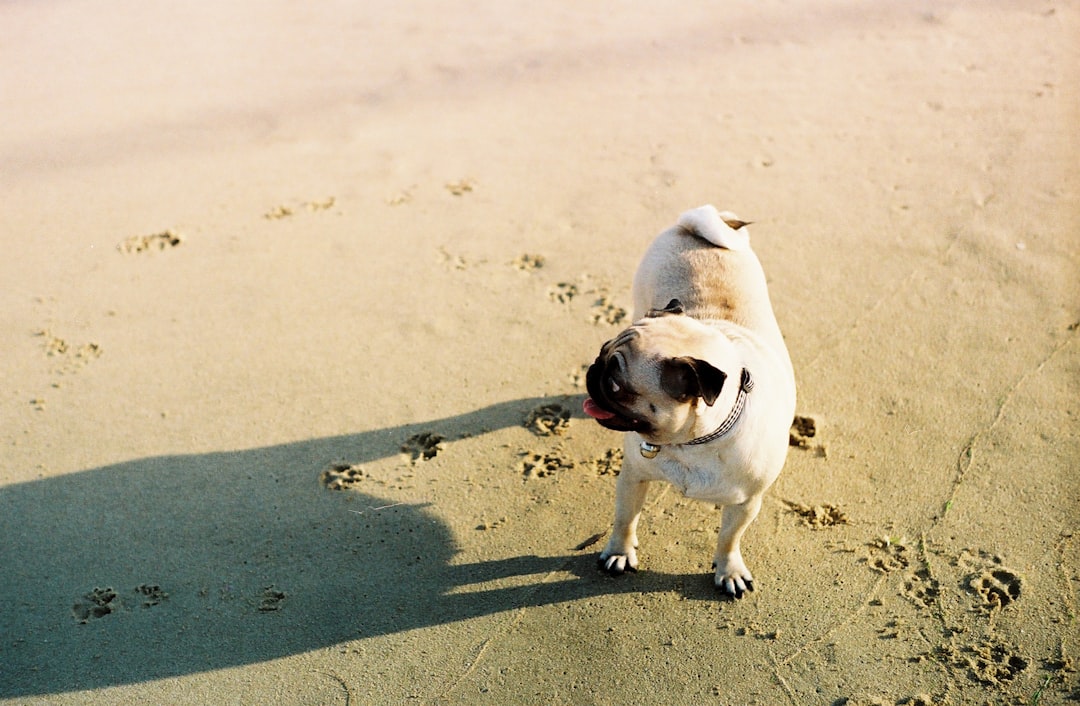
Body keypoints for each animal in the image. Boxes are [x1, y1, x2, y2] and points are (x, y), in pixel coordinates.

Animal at [583, 207, 794, 600]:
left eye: (617, 385)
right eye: (603, 351)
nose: (594, 371)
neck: (692, 442)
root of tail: (701, 223)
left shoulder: (746, 503)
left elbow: (729, 539)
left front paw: (729, 570)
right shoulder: (633, 475)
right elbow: (624, 518)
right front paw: (619, 552)